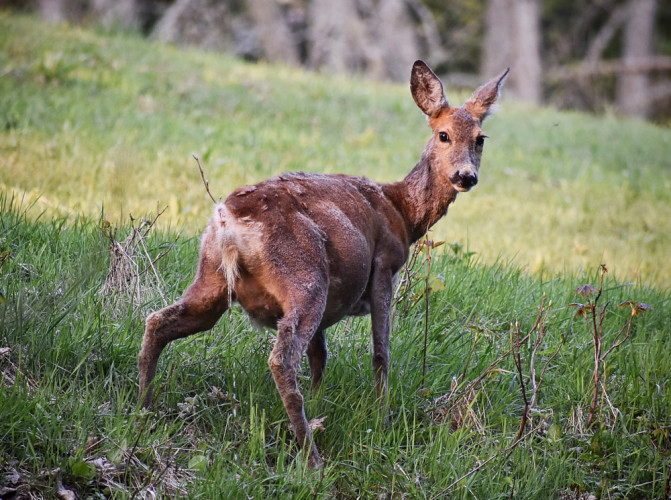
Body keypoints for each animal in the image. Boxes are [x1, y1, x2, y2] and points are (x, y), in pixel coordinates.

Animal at [138, 59, 510, 468]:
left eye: (480, 138)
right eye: (443, 135)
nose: (466, 176)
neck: (402, 211)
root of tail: (230, 223)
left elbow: (321, 357)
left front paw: (321, 404)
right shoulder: (385, 266)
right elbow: (381, 353)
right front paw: (381, 418)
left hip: (213, 278)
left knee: (158, 321)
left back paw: (142, 409)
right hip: (306, 277)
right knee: (282, 360)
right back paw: (312, 459)